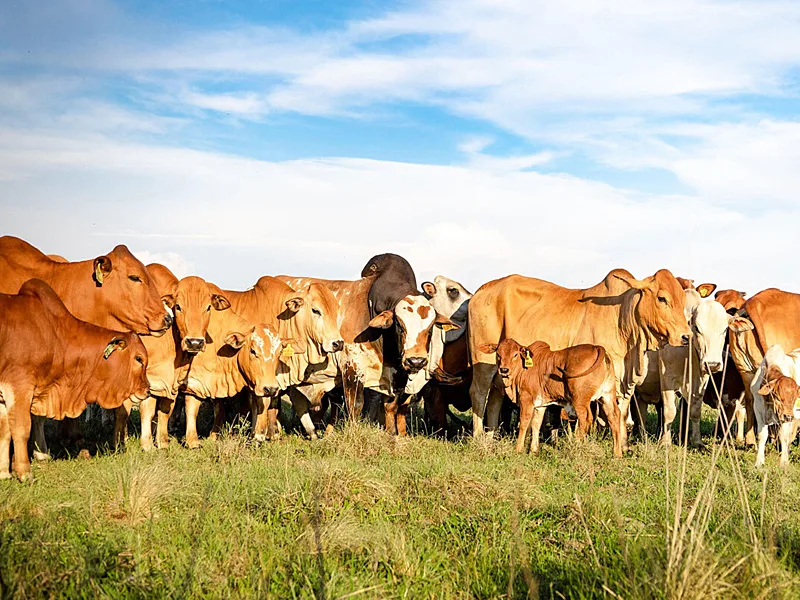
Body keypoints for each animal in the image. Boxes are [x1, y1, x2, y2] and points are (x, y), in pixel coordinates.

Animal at [0, 279, 149, 480]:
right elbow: (21, 428)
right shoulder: (19, 386)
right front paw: (24, 472)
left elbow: (4, 432)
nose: (147, 389)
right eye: (139, 359)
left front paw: (4, 473)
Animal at [468, 269, 691, 442]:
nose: (686, 336)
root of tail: (482, 289)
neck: (621, 319)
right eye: (662, 298)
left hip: (502, 368)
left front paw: (624, 445)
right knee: (478, 393)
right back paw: (479, 437)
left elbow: (622, 414)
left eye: (683, 300)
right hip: (484, 363)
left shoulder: (623, 382)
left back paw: (491, 436)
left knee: (495, 397)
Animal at [479, 339, 622, 456]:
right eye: (498, 354)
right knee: (614, 417)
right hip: (607, 395)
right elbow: (536, 424)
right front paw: (533, 450)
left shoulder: (526, 399)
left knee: (585, 419)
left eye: (515, 354)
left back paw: (577, 447)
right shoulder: (541, 404)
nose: (504, 370)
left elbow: (524, 423)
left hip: (580, 400)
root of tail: (597, 347)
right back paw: (617, 454)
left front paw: (518, 449)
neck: (523, 369)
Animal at [634, 286, 731, 446]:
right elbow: (669, 412)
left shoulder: (701, 382)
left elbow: (695, 412)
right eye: (697, 328)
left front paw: (697, 441)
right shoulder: (667, 379)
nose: (712, 364)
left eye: (724, 330)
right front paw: (665, 442)